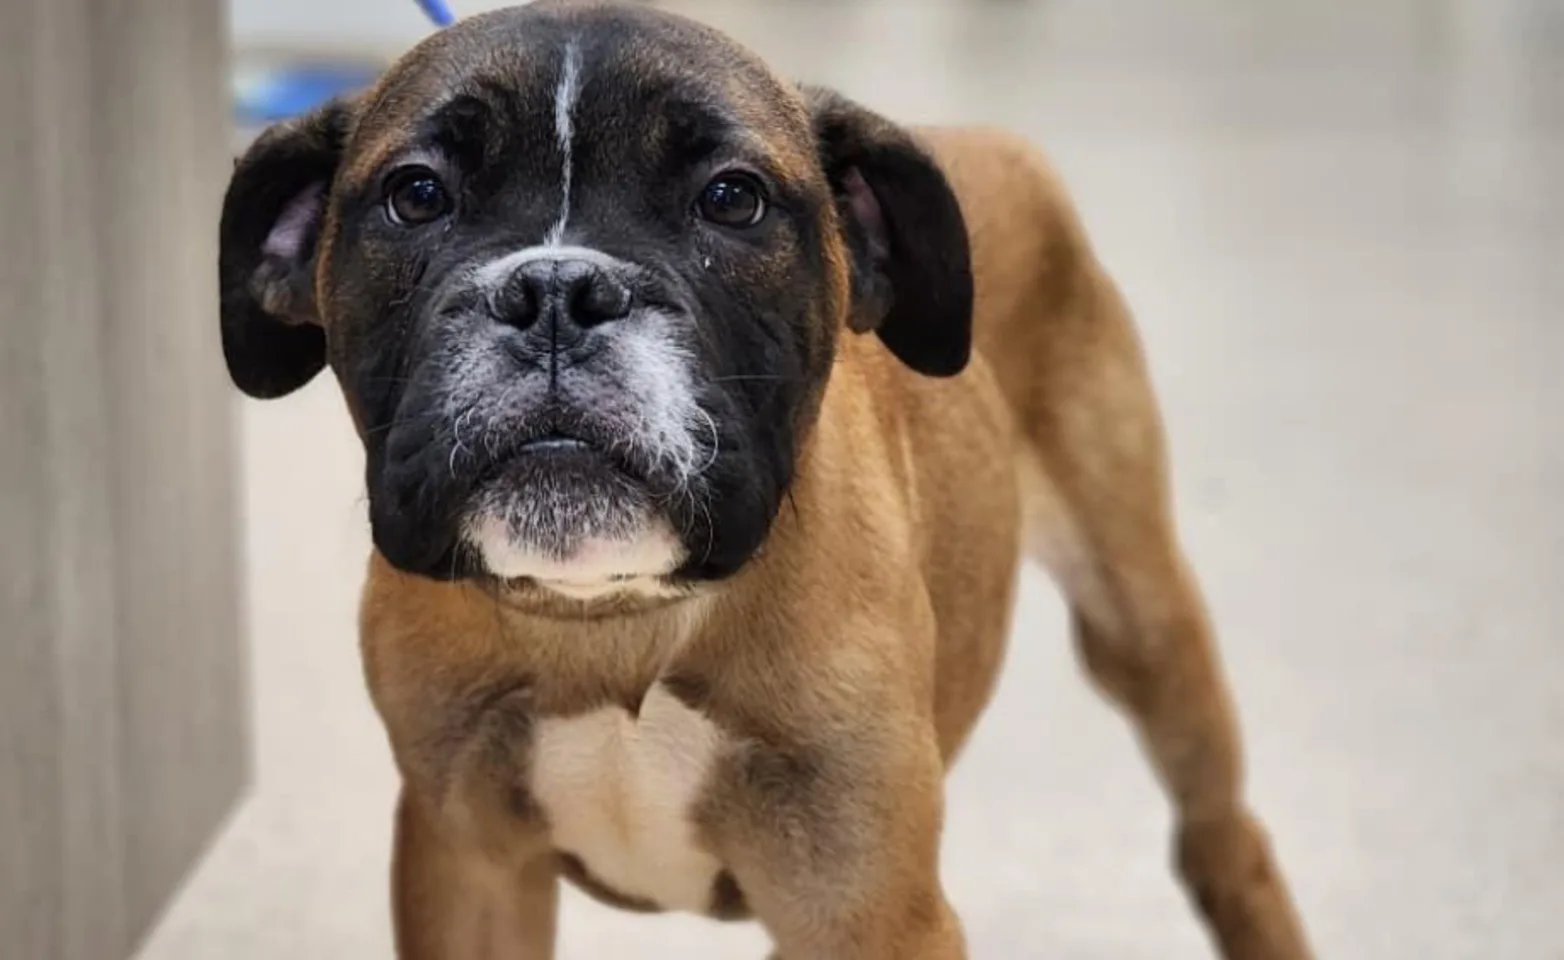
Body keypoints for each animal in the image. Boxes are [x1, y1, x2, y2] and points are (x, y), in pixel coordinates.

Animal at [220, 1, 1313, 960]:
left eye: (731, 198)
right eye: (416, 196)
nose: (558, 291)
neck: (613, 621)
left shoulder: (866, 911)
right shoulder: (470, 874)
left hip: (1143, 625)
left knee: (1224, 836)